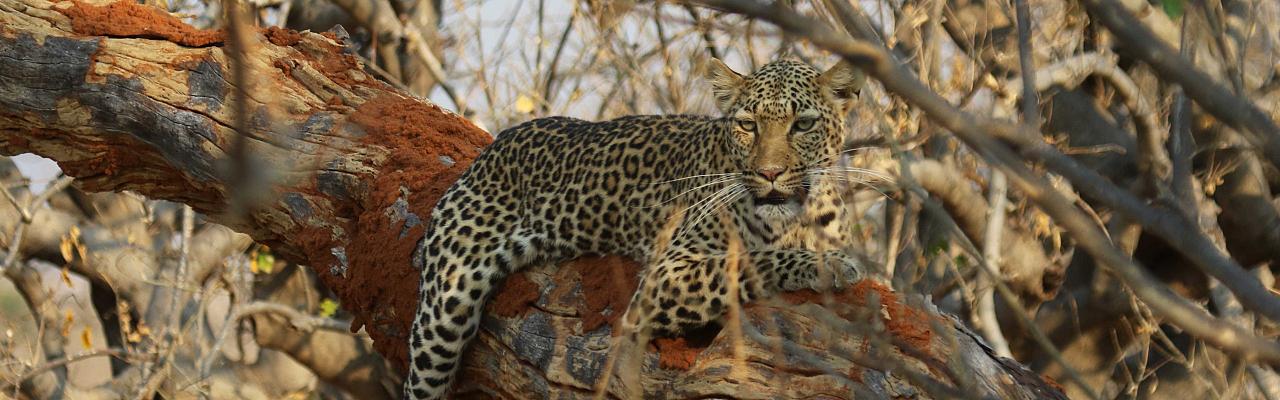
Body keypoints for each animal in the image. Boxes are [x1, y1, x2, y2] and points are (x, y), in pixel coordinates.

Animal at [403, 57, 873, 399]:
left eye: (803, 124)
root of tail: (493, 146)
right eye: (748, 124)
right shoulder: (665, 276)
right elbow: (750, 259)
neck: (795, 219)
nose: (770, 173)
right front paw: (828, 264)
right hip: (445, 307)